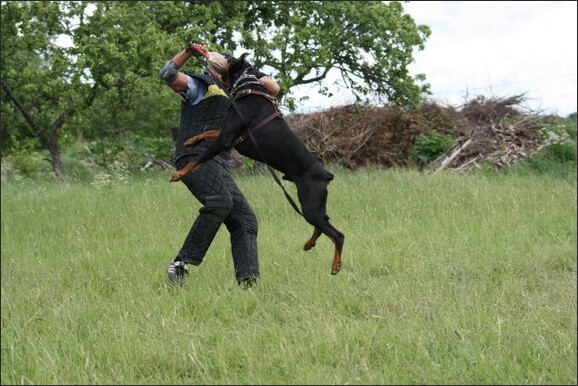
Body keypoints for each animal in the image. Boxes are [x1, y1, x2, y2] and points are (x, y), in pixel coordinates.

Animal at [170, 52, 342, 274]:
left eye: (227, 56)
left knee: (337, 234)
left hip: (310, 203)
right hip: (312, 205)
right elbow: (209, 132)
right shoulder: (230, 134)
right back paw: (309, 243)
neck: (247, 85)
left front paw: (179, 173)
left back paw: (336, 265)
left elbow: (201, 157)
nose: (212, 56)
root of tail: (326, 174)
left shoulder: (226, 138)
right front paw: (193, 140)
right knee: (322, 225)